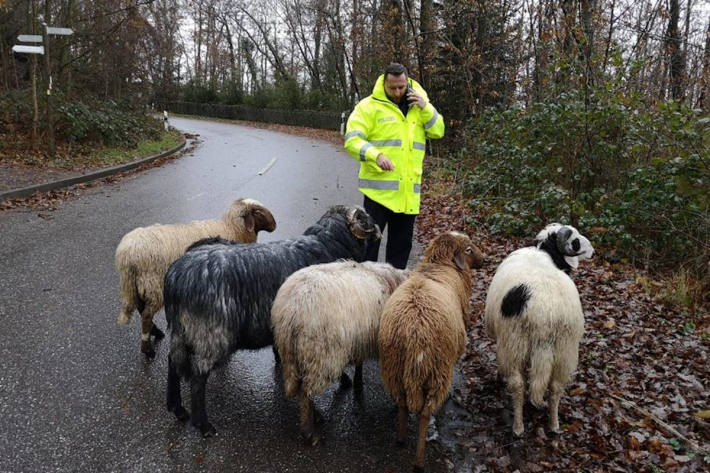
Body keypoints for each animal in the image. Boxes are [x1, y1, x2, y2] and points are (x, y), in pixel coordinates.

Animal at [113, 197, 276, 356]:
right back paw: (147, 349)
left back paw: (156, 332)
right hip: (153, 284)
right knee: (146, 315)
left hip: (138, 284)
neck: (231, 228)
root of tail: (126, 254)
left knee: (141, 309)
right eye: (258, 212)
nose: (274, 225)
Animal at [165, 203, 384, 436]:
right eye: (365, 217)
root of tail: (176, 277)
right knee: (198, 376)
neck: (330, 244)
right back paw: (203, 424)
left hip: (183, 331)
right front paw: (342, 383)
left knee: (173, 361)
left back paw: (177, 407)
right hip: (211, 335)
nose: (377, 229)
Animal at [272, 260, 408, 444]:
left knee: (300, 387)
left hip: (292, 353)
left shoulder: (359, 339)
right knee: (306, 392)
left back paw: (317, 416)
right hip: (320, 354)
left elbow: (359, 362)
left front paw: (358, 381)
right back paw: (309, 433)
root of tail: (292, 309)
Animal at [378, 230, 484, 470]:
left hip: (394, 367)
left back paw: (401, 438)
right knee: (425, 413)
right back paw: (419, 459)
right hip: (438, 369)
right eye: (469, 249)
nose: (485, 260)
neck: (439, 265)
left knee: (402, 403)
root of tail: (415, 334)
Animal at [484, 223, 596, 436]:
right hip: (565, 349)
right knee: (555, 387)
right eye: (576, 241)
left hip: (515, 342)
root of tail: (547, 315)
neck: (543, 252)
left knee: (518, 385)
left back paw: (518, 427)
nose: (593, 252)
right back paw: (553, 424)